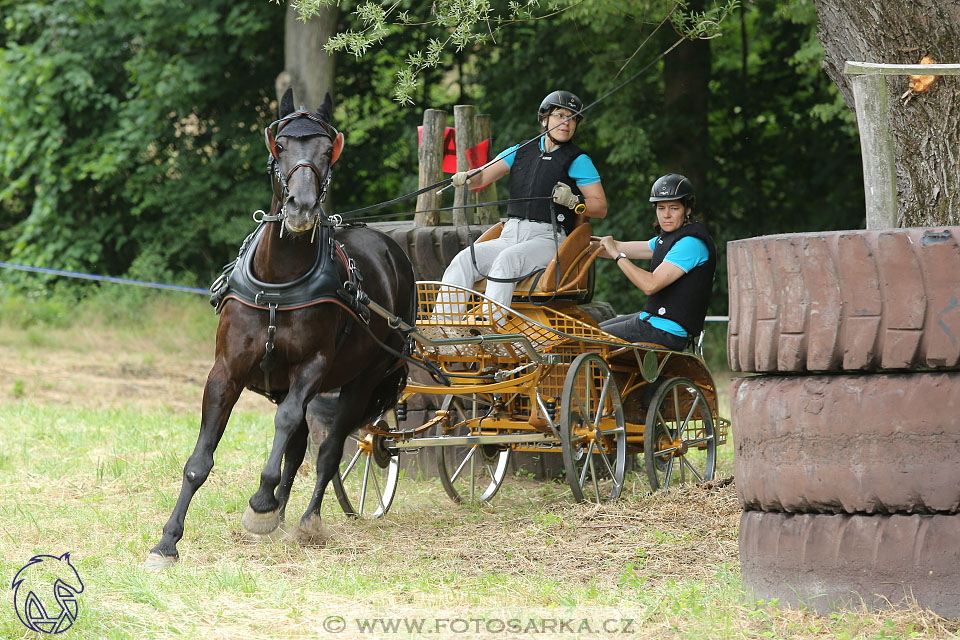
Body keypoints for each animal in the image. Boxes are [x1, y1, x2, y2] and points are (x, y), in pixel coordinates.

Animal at [144, 87, 414, 568]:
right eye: (280, 146)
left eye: (327, 149)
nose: (302, 207)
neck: (279, 283)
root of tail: (390, 247)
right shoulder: (226, 371)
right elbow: (201, 459)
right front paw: (168, 541)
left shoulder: (313, 367)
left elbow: (288, 426)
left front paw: (260, 503)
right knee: (301, 445)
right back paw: (281, 514)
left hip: (362, 381)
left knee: (327, 451)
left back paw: (305, 521)